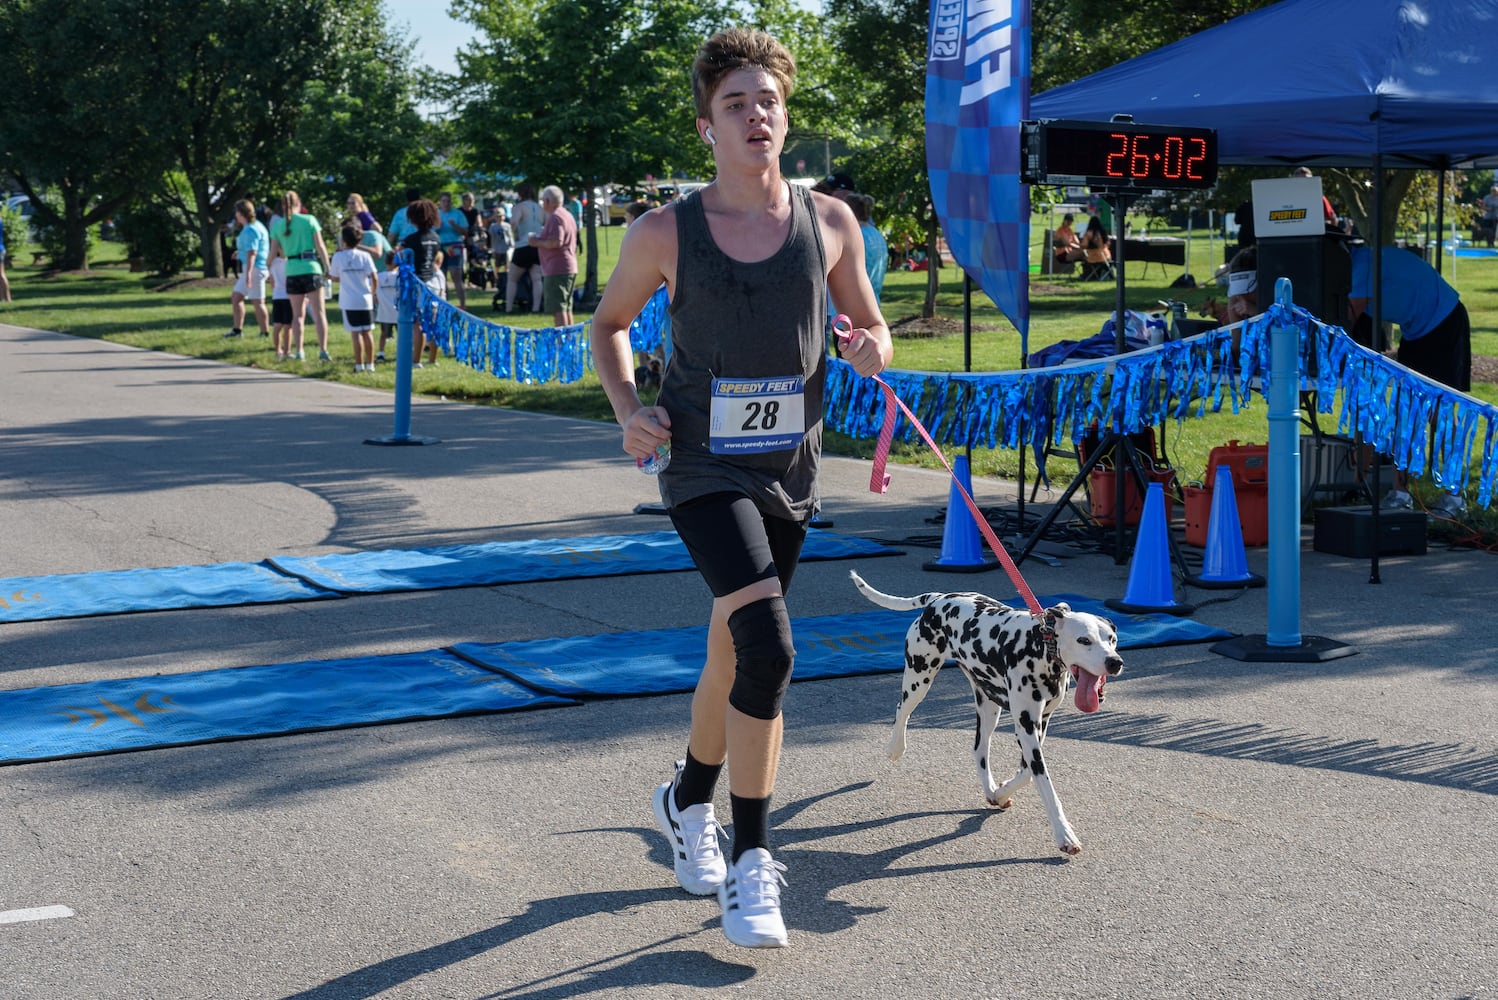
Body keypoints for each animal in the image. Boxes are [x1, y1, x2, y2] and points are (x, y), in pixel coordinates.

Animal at [856, 565, 1126, 856]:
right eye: (1084, 640)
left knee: (979, 749)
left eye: (1112, 639)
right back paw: (895, 747)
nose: (1114, 662)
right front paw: (1065, 835)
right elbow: (1044, 785)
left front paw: (1001, 792)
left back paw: (990, 789)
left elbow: (1026, 773)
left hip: (989, 708)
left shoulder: (1037, 726)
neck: (1039, 647)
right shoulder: (1026, 728)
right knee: (901, 710)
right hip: (919, 680)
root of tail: (938, 599)